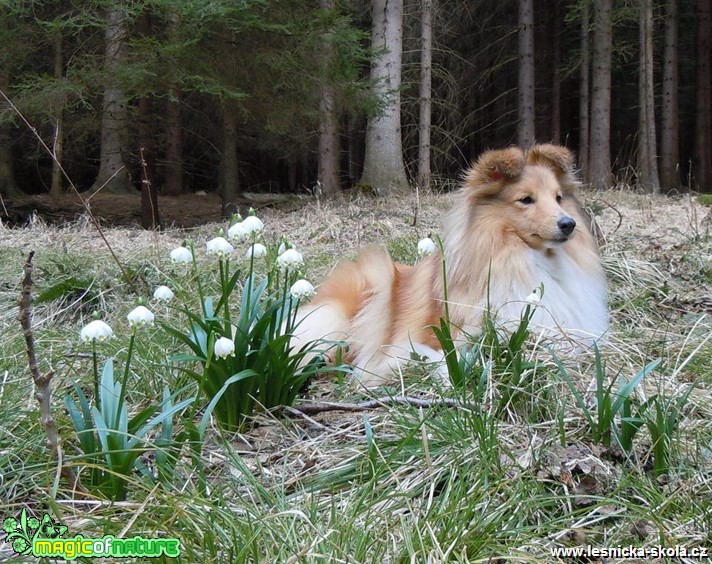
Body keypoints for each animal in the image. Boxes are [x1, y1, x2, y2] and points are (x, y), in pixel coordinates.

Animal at [292, 143, 608, 386]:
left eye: (558, 198)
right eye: (526, 199)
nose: (569, 224)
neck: (526, 258)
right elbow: (436, 359)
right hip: (368, 288)